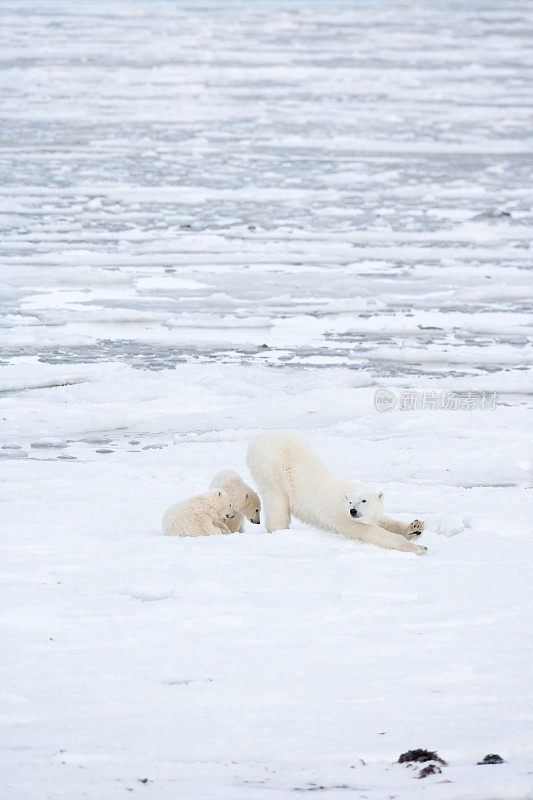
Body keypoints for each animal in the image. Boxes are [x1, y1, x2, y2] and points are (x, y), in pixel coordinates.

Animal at [247, 432, 426, 556]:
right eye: (350, 502)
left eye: (364, 500)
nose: (353, 511)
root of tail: (257, 439)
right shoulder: (340, 516)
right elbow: (368, 532)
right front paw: (419, 548)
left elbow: (382, 520)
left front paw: (416, 527)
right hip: (272, 466)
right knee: (277, 501)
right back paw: (280, 530)